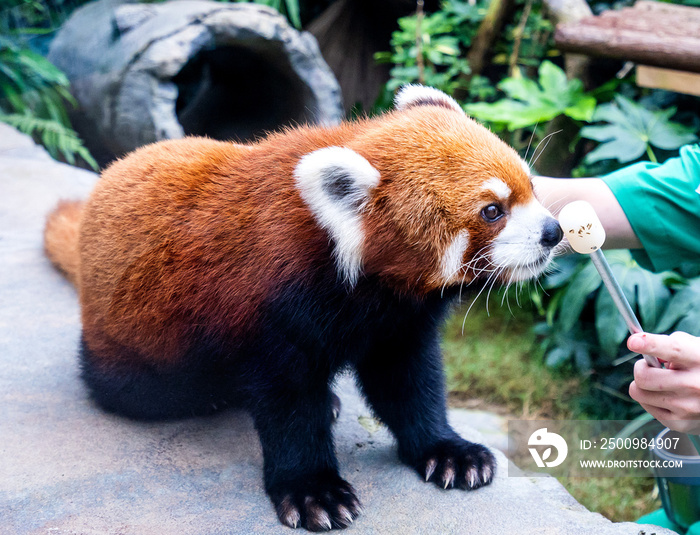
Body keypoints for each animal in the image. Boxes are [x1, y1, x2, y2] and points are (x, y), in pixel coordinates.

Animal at [45, 85, 564, 532]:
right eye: (492, 211)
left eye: (531, 186)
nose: (554, 232)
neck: (367, 284)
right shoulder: (273, 307)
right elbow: (289, 406)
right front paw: (314, 491)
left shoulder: (398, 322)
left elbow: (408, 384)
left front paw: (447, 450)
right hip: (133, 347)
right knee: (136, 388)